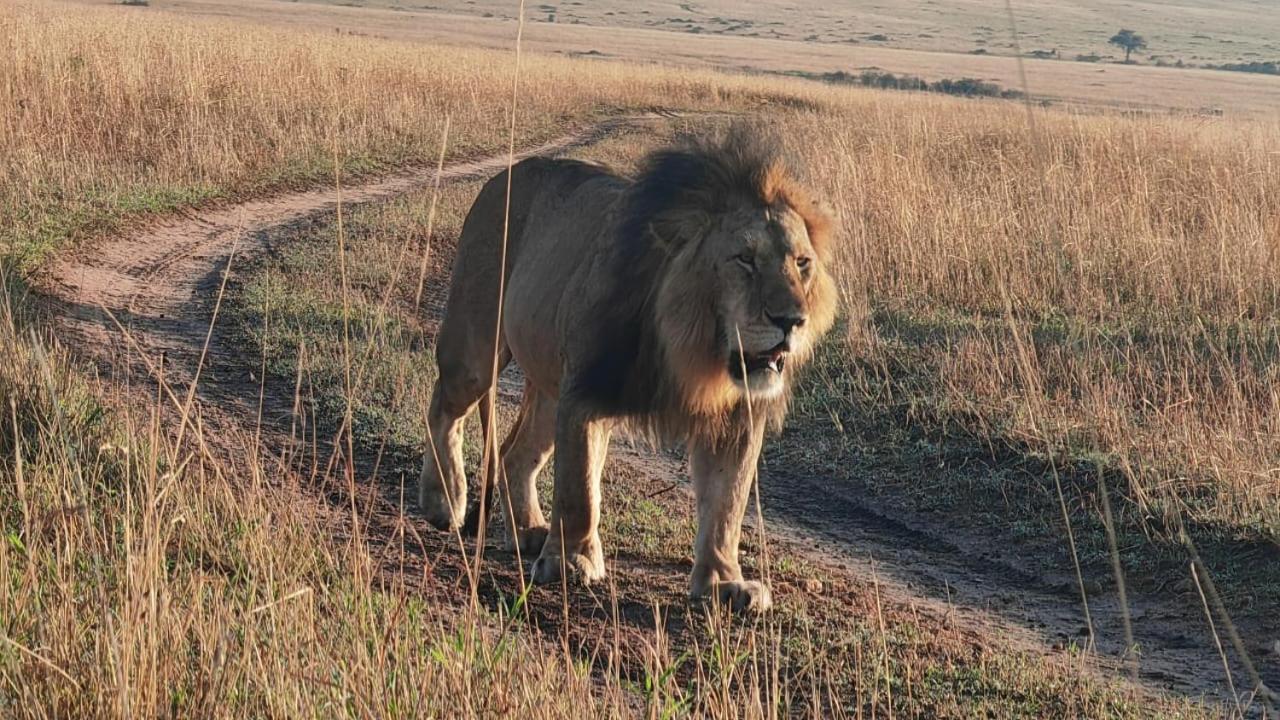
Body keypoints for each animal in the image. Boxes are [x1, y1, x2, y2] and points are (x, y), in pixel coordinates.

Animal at [419, 126, 839, 607]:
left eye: (802, 263)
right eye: (745, 259)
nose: (792, 320)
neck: (692, 349)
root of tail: (503, 175)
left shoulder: (736, 416)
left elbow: (726, 505)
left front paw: (723, 582)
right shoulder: (586, 393)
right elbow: (580, 491)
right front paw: (573, 562)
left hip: (549, 386)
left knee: (514, 455)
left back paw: (528, 531)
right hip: (475, 348)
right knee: (443, 409)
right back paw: (443, 501)